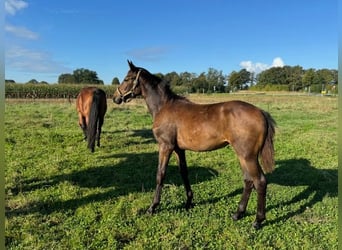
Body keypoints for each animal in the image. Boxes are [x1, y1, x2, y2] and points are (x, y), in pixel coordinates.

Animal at [112, 60, 276, 229]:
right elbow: (184, 173)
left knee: (260, 181)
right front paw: (189, 202)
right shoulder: (179, 150)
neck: (164, 106)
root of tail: (261, 112)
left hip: (248, 156)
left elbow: (160, 174)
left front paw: (152, 207)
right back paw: (238, 213)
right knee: (248, 181)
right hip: (242, 155)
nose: (115, 97)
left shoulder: (165, 146)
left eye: (126, 79)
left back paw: (258, 220)